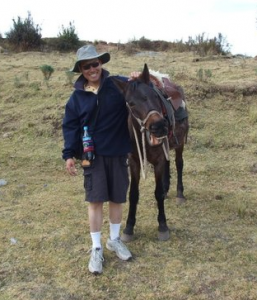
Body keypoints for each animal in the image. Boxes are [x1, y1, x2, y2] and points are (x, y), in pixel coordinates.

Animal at [111, 63, 188, 241]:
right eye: (130, 103)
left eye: (154, 95)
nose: (158, 126)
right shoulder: (134, 161)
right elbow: (133, 194)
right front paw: (129, 227)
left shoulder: (158, 159)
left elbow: (157, 192)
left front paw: (163, 226)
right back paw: (167, 188)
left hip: (180, 144)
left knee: (179, 164)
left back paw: (179, 194)